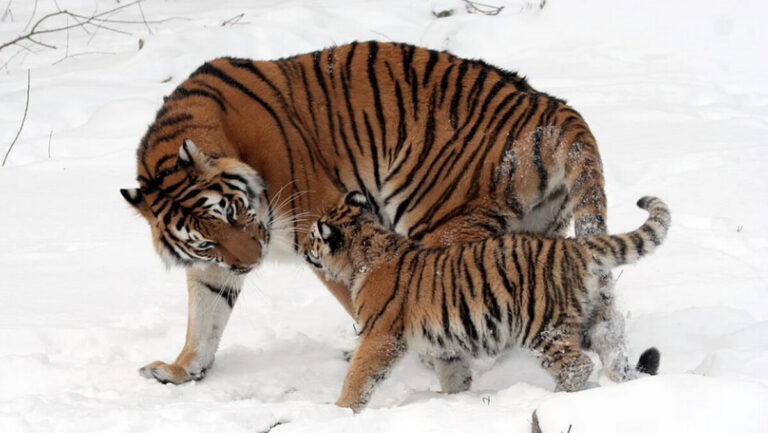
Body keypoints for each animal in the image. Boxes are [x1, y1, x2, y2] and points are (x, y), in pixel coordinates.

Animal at [120, 40, 641, 387]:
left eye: (232, 211)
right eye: (204, 239)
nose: (251, 262)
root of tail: (552, 107)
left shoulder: (321, 224)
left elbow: (365, 301)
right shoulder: (214, 265)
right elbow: (204, 316)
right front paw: (181, 370)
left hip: (439, 221)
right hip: (539, 229)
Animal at [302, 191, 668, 412]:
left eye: (313, 237)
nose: (304, 249)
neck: (366, 250)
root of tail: (575, 247)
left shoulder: (380, 336)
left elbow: (359, 375)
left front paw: (339, 411)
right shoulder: (445, 344)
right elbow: (453, 374)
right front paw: (451, 399)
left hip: (543, 326)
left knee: (576, 366)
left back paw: (554, 400)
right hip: (595, 318)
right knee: (615, 349)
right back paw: (624, 385)